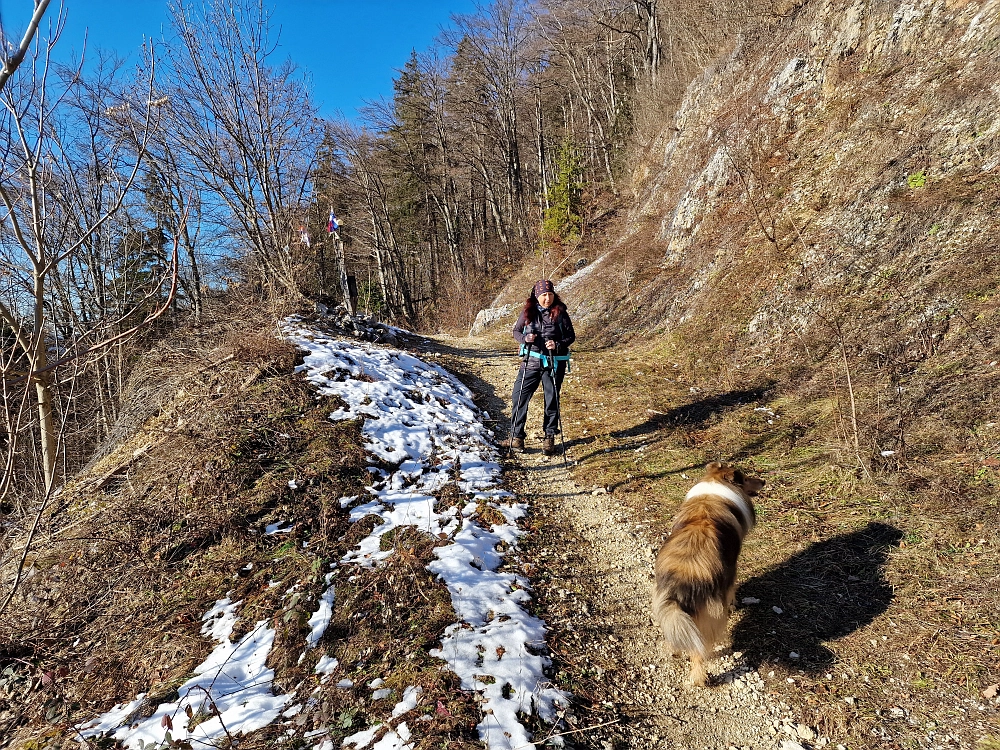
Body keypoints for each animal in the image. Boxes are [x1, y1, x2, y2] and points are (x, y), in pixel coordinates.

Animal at [648, 458, 764, 688]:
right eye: (745, 477)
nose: (763, 481)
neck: (715, 487)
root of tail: (681, 584)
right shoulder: (732, 570)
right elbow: (732, 591)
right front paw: (734, 604)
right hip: (708, 620)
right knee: (699, 651)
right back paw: (700, 679)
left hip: (667, 609)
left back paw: (675, 652)